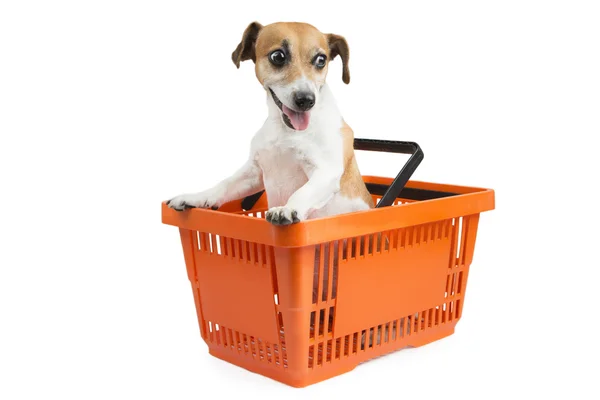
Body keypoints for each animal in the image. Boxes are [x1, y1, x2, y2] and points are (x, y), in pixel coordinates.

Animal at [165, 21, 376, 225]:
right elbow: (224, 184)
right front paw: (196, 197)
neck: (285, 130)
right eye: (278, 56)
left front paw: (289, 208)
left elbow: (302, 192)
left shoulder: (327, 172)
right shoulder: (254, 173)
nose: (307, 100)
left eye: (321, 60)